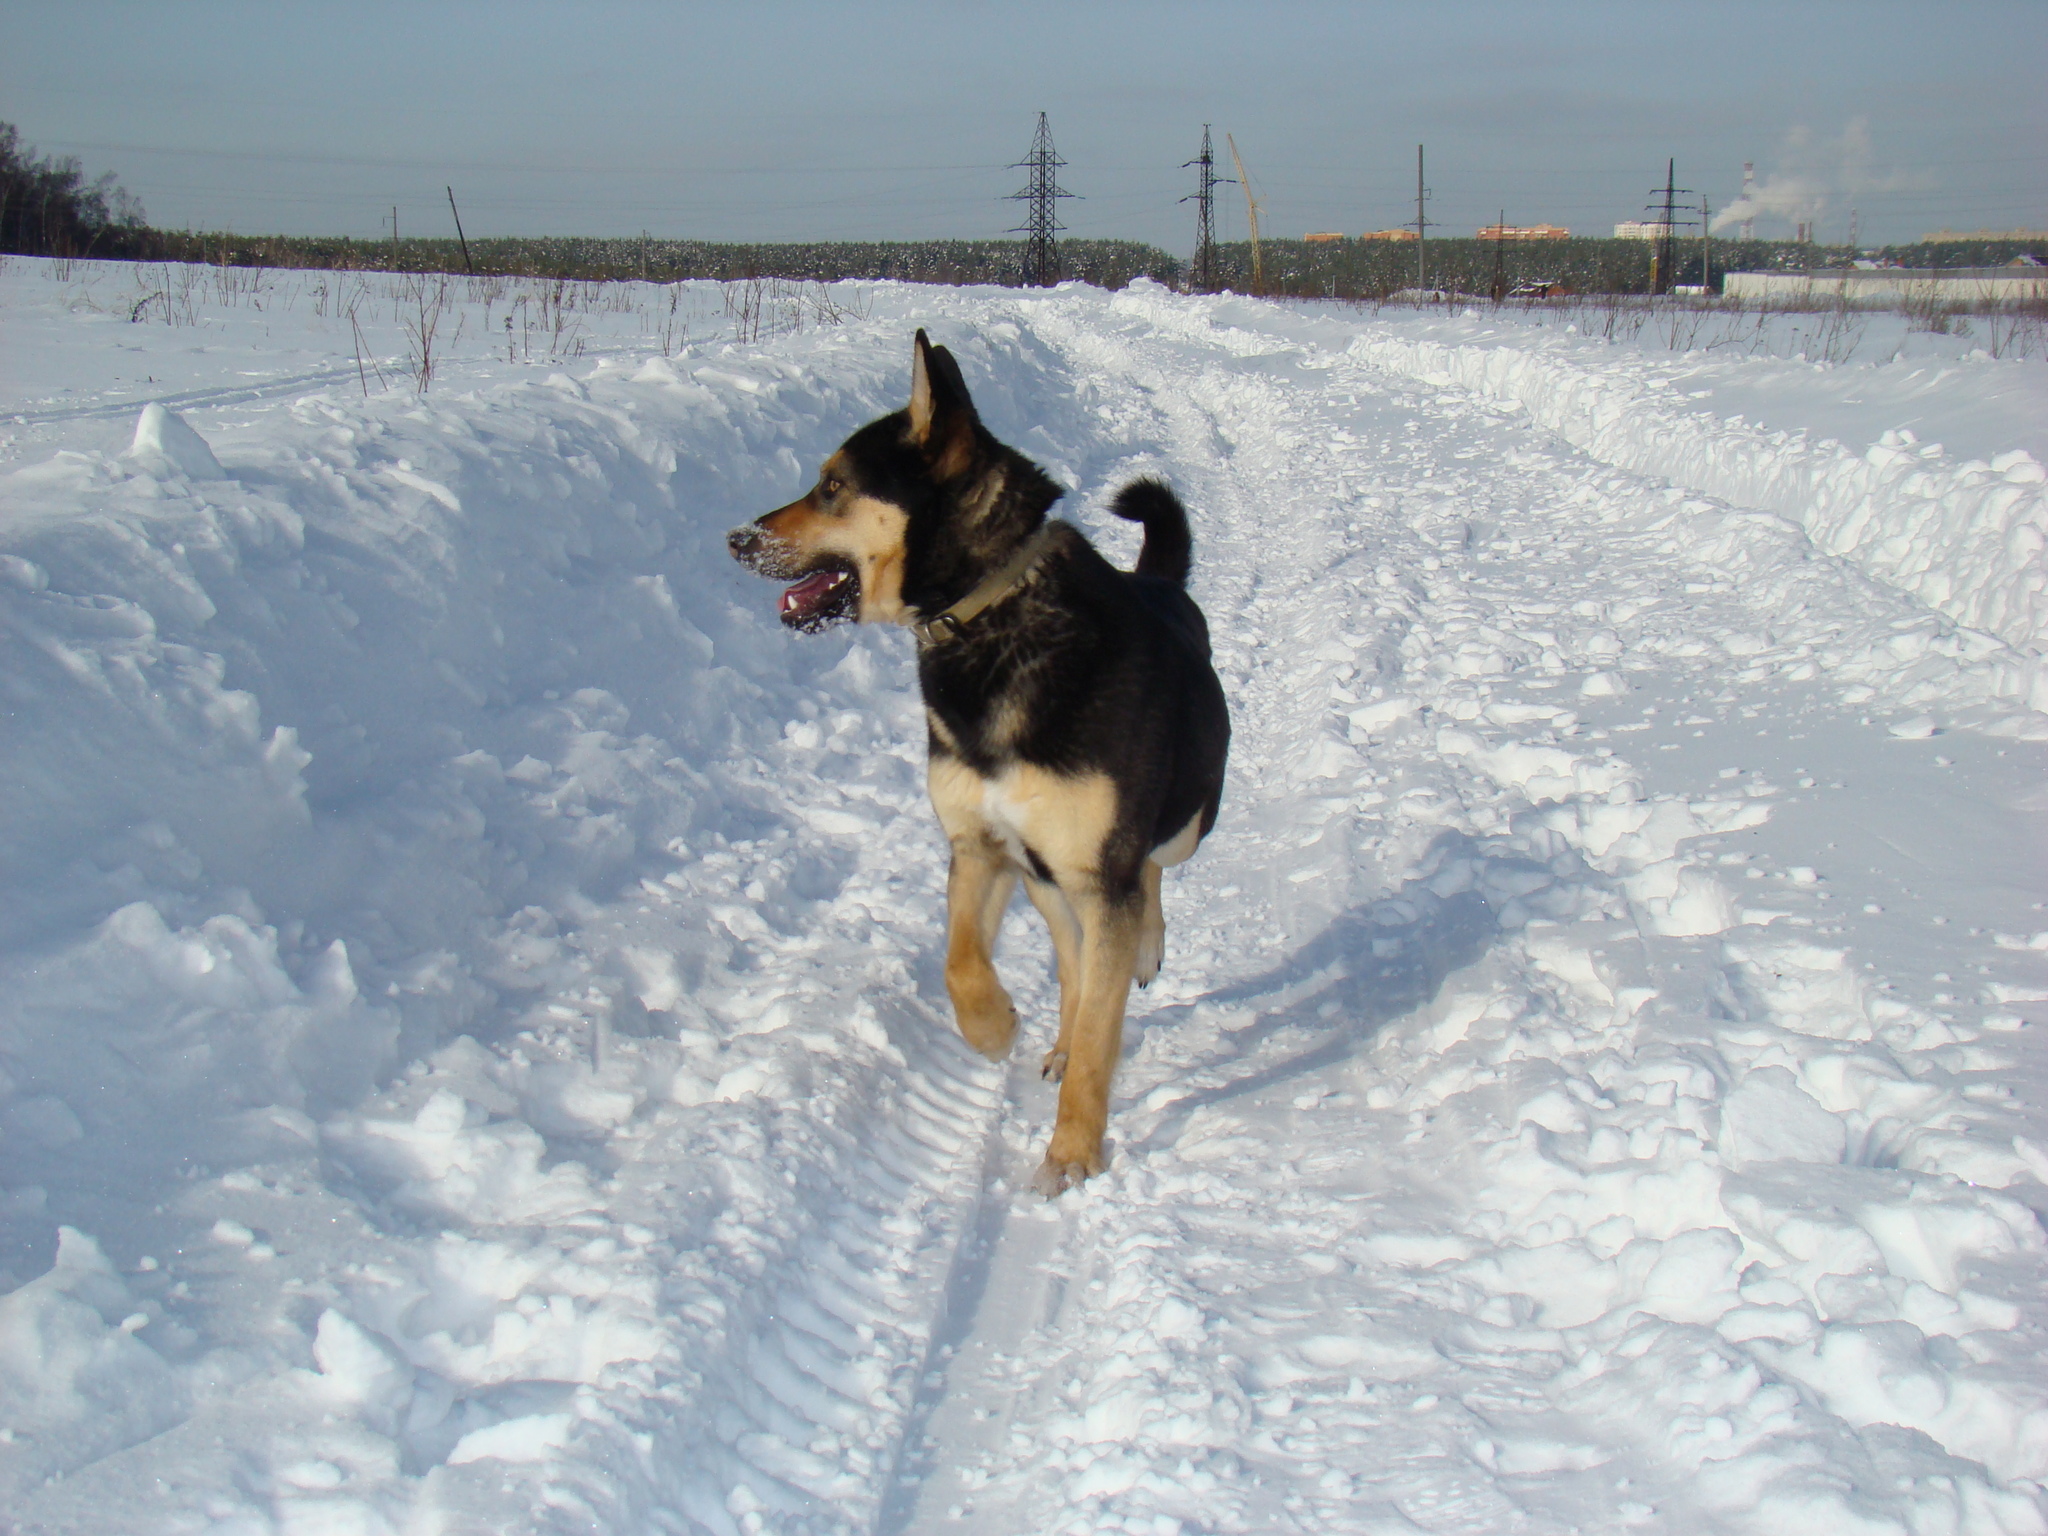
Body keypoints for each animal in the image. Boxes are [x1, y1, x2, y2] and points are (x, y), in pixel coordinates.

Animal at [729, 331, 1220, 1196]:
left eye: (833, 486)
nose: (735, 540)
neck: (988, 612)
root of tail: (1160, 583)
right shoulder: (978, 844)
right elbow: (959, 960)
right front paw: (994, 1027)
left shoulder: (1102, 871)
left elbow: (1103, 1036)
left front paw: (1072, 1155)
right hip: (1042, 877)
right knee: (1074, 964)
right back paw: (1056, 1035)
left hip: (1173, 829)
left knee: (1150, 883)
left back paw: (1144, 952)